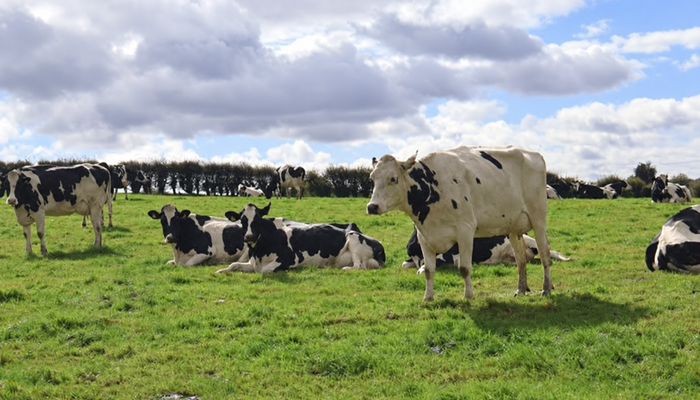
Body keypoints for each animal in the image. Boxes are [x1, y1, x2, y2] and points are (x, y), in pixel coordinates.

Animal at [215, 202, 385, 273]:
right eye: (242, 220)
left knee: (359, 266)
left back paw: (346, 269)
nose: (249, 236)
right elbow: (234, 265)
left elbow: (264, 270)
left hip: (354, 241)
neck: (258, 251)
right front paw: (221, 270)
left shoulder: (290, 258)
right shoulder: (252, 262)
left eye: (257, 219)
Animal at [366, 145, 553, 301]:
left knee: (545, 253)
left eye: (393, 179)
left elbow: (464, 268)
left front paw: (468, 296)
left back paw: (546, 288)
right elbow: (428, 270)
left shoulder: (465, 230)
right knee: (521, 259)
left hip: (538, 219)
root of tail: (532, 153)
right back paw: (521, 290)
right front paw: (428, 298)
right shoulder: (424, 236)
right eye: (372, 178)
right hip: (513, 227)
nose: (372, 206)